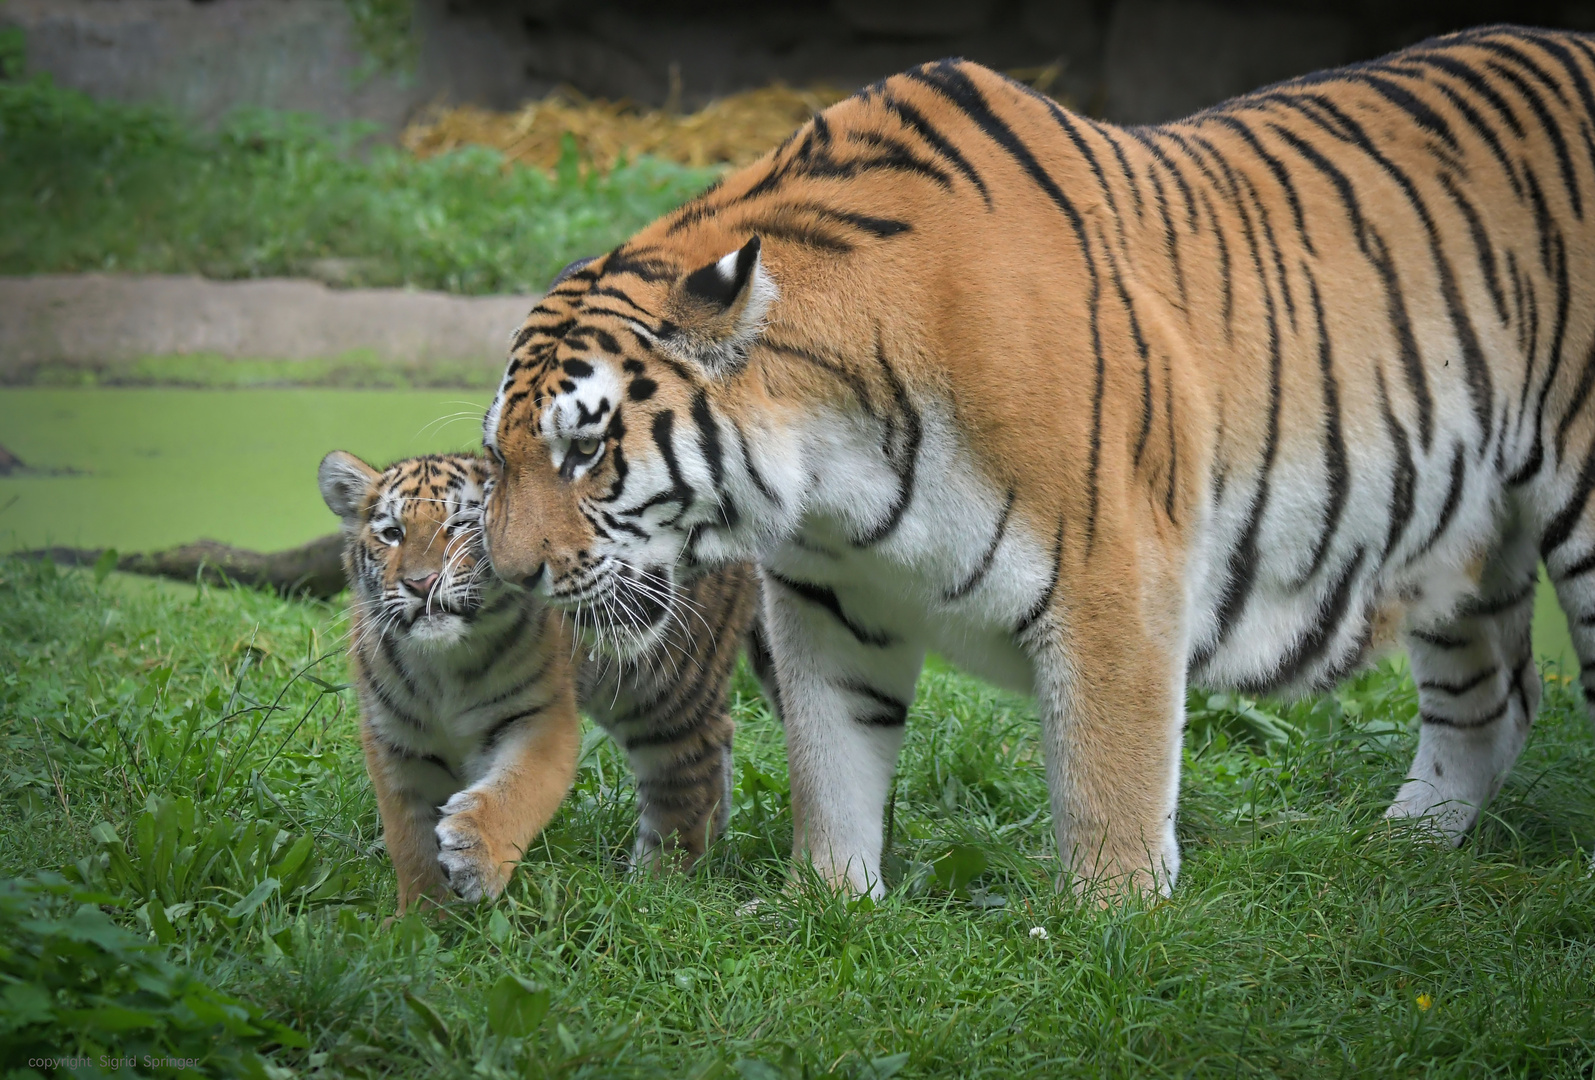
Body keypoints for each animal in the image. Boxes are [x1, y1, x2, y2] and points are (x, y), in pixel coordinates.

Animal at [478, 27, 1595, 899]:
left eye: (585, 450)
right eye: (498, 458)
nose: (511, 574)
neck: (833, 473)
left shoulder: (1116, 579)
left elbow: (1110, 777)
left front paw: (1113, 931)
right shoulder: (830, 602)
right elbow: (830, 763)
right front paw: (825, 907)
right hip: (1457, 528)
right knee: (1491, 701)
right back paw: (1400, 856)